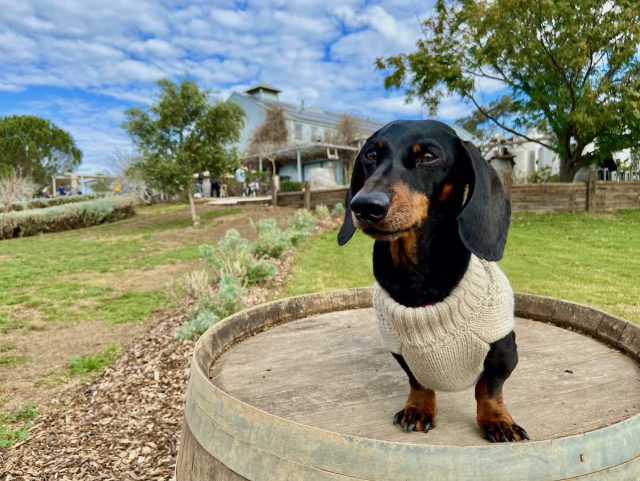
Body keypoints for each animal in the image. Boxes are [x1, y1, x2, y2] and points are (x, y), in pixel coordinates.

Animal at [338, 119, 528, 442]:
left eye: (428, 157)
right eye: (370, 155)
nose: (364, 206)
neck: (417, 274)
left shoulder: (502, 350)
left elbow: (488, 388)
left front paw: (496, 419)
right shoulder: (401, 348)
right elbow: (418, 380)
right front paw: (419, 408)